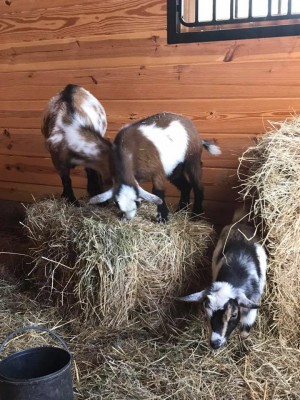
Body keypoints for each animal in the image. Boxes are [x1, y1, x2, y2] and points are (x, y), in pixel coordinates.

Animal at [89, 112, 220, 222]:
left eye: (137, 203)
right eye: (117, 204)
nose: (128, 218)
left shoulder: (158, 171)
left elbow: (158, 192)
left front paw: (162, 218)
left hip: (192, 160)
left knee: (198, 187)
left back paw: (196, 215)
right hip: (174, 169)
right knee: (186, 186)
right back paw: (181, 210)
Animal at [176, 209, 268, 350]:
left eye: (234, 314)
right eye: (206, 311)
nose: (215, 343)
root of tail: (239, 223)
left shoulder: (251, 307)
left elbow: (244, 333)